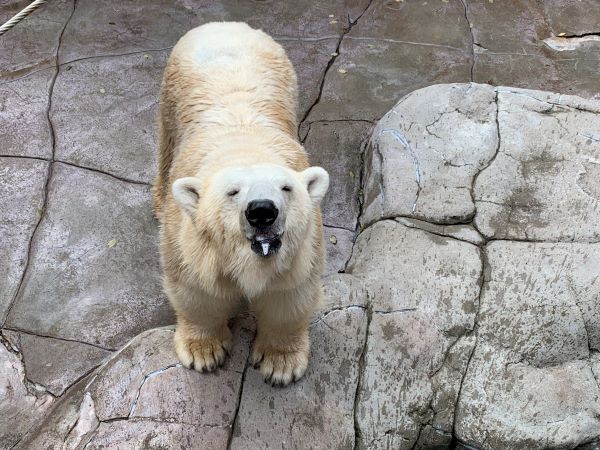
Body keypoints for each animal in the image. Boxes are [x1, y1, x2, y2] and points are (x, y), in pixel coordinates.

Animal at [150, 22, 328, 386]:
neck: (245, 147)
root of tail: (225, 25)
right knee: (166, 144)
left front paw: (280, 364)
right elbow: (197, 292)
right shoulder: (188, 240)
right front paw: (203, 353)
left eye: (286, 188)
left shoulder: (304, 248)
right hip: (170, 94)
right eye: (232, 192)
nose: (262, 211)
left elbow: (288, 296)